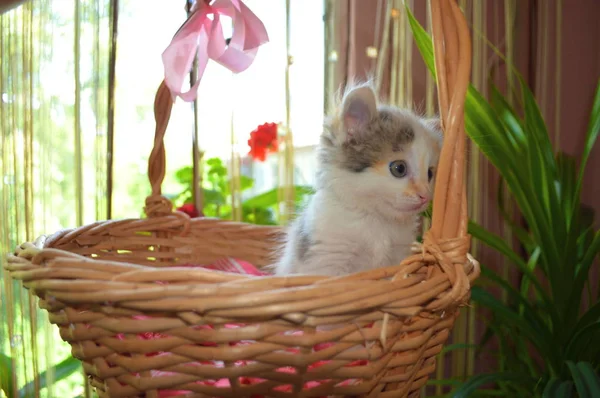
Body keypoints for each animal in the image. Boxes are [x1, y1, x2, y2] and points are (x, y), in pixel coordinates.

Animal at [274, 79, 442, 276]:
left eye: (429, 173)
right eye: (399, 168)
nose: (425, 196)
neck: (377, 221)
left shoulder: (398, 256)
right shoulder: (326, 259)